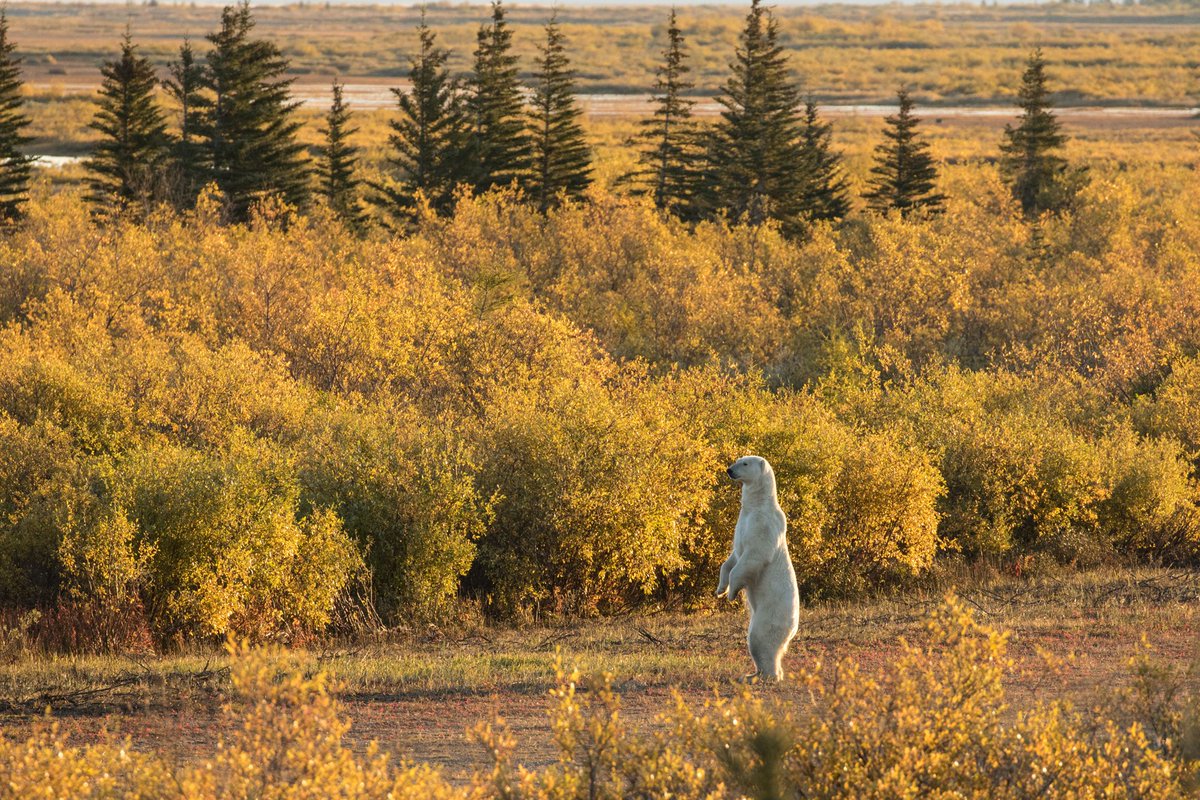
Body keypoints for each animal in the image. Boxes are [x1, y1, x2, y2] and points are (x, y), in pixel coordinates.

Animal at [715, 455, 800, 682]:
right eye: (737, 460)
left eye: (744, 463)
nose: (729, 470)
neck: (758, 505)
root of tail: (793, 629)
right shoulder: (742, 522)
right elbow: (732, 558)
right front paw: (720, 589)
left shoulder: (762, 525)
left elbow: (753, 556)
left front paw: (731, 594)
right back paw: (750, 674)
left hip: (770, 616)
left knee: (761, 639)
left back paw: (767, 675)